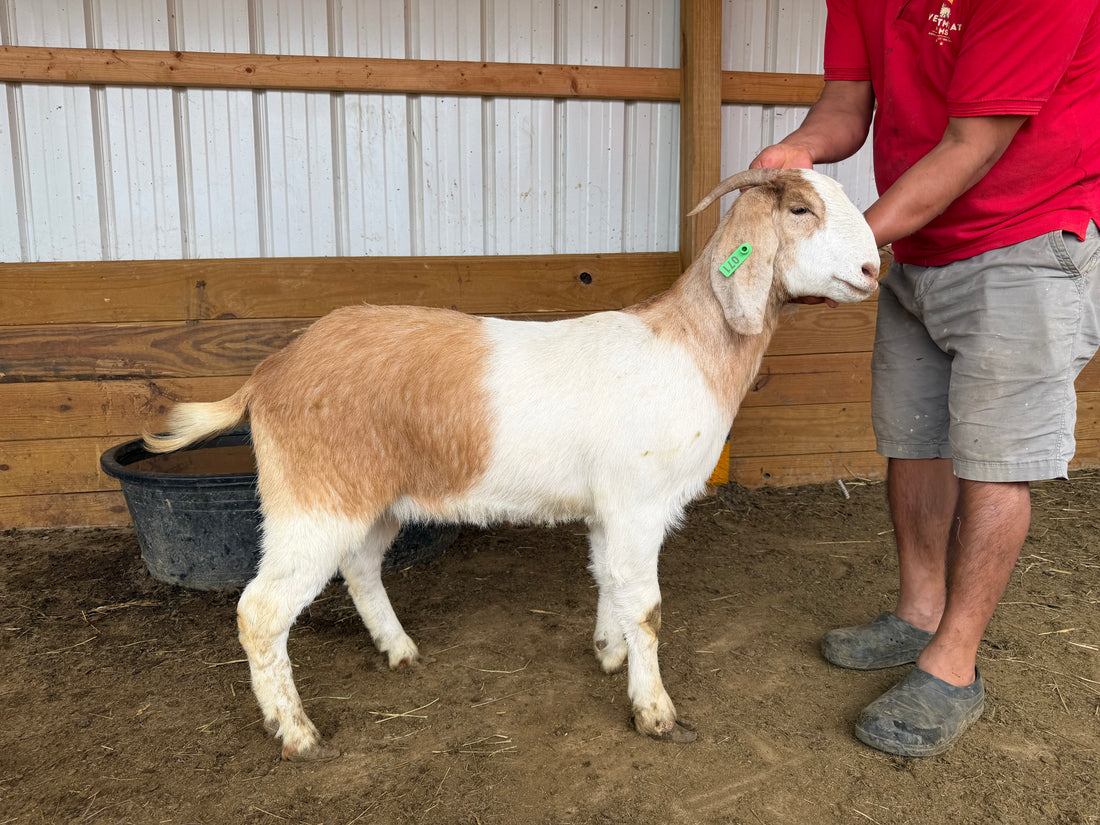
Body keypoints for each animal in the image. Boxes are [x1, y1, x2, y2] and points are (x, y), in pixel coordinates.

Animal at [143, 168, 880, 760]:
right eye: (800, 209)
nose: (874, 271)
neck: (685, 347)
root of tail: (268, 372)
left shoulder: (610, 509)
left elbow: (608, 580)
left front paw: (608, 653)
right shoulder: (639, 502)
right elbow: (645, 606)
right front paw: (655, 712)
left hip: (372, 500)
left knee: (359, 567)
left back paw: (398, 649)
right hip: (313, 499)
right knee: (260, 610)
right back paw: (296, 732)